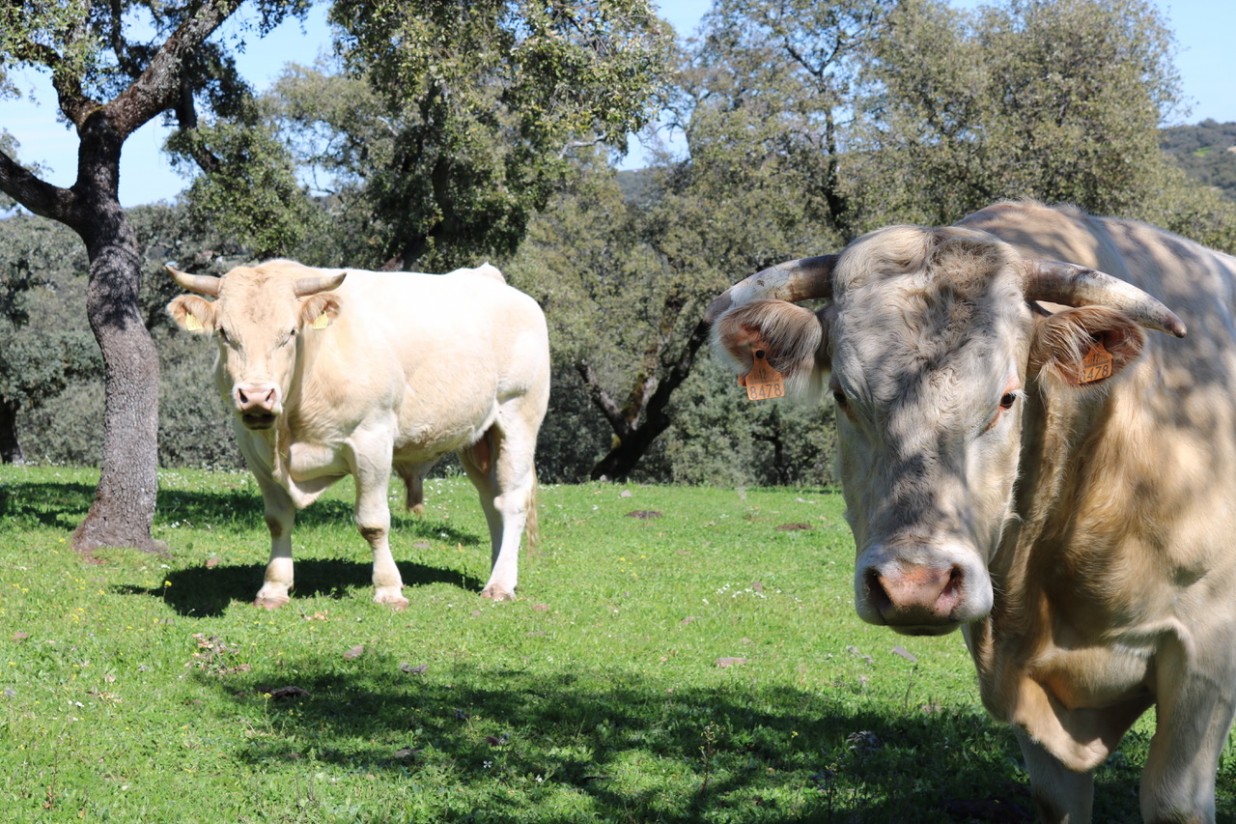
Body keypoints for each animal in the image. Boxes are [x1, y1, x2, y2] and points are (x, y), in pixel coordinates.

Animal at [165, 258, 551, 612]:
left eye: (290, 333)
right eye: (223, 333)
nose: (257, 396)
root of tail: (492, 279)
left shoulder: (372, 439)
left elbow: (373, 522)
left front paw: (389, 589)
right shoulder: (253, 447)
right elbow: (277, 520)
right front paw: (273, 588)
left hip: (518, 415)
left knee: (512, 500)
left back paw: (500, 585)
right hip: (478, 438)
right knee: (491, 501)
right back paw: (499, 571)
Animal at [711, 201, 1236, 824]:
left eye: (1007, 398)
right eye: (842, 395)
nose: (915, 584)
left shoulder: (1206, 653)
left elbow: (1174, 800)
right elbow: (1057, 797)